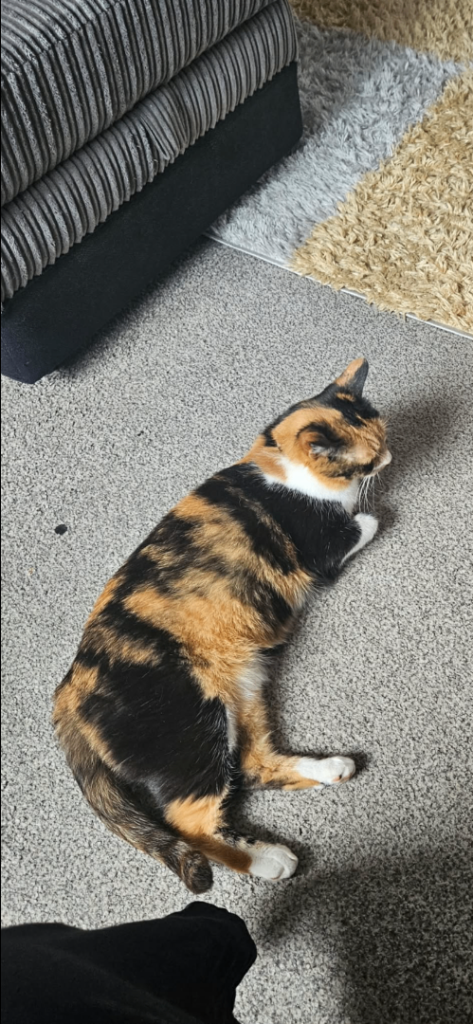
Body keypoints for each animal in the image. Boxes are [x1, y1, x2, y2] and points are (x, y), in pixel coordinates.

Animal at [54, 358, 391, 894]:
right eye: (369, 457)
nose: (391, 456)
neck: (277, 463)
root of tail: (67, 691)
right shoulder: (324, 547)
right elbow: (371, 519)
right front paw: (370, 502)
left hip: (243, 690)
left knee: (251, 765)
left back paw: (332, 768)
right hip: (192, 723)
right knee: (190, 823)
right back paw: (272, 861)